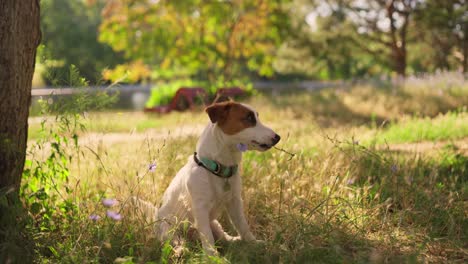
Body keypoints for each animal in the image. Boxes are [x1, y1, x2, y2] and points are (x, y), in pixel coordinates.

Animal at [155, 100, 280, 255]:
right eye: (249, 118)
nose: (278, 137)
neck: (217, 168)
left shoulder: (235, 201)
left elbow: (242, 225)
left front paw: (252, 242)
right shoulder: (200, 208)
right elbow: (207, 236)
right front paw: (212, 255)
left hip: (215, 223)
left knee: (224, 237)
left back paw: (235, 240)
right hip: (168, 227)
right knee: (174, 241)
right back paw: (181, 250)